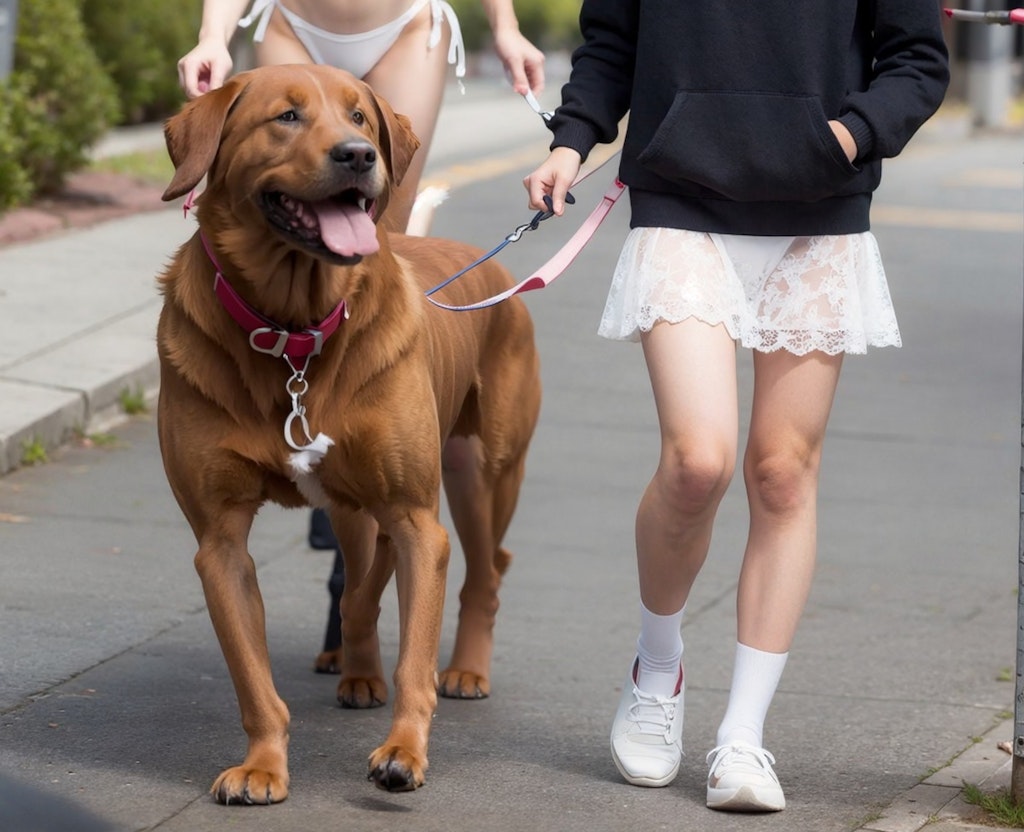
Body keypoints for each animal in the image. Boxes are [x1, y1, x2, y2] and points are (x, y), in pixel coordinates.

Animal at [155, 65, 540, 807]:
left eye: (361, 117)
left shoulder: (417, 518)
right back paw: (356, 667)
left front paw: (404, 753)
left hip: (485, 469)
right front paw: (264, 765)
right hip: (355, 504)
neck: (295, 328)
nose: (358, 156)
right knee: (363, 569)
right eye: (286, 117)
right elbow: (254, 676)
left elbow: (406, 639)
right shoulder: (219, 541)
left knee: (488, 566)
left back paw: (466, 669)